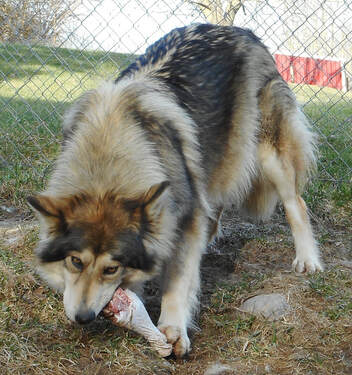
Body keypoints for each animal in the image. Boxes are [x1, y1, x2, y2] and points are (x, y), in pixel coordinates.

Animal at [28, 23, 324, 358]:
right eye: (75, 262)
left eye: (111, 268)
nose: (83, 317)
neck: (108, 155)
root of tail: (242, 30)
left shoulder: (185, 217)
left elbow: (177, 283)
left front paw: (172, 330)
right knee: (214, 206)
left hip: (268, 157)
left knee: (296, 203)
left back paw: (308, 260)